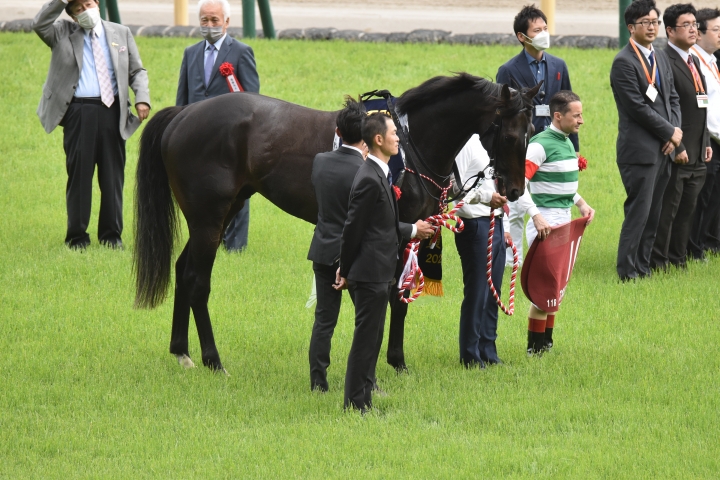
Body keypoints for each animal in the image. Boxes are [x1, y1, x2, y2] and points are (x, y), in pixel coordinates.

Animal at [135, 73, 540, 372]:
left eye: (531, 132)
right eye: (508, 134)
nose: (515, 189)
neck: (411, 142)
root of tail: (184, 114)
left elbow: (400, 299)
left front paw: (394, 360)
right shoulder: (397, 231)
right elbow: (393, 295)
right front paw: (392, 360)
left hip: (220, 214)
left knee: (183, 269)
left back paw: (181, 351)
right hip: (209, 218)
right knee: (197, 280)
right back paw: (212, 359)